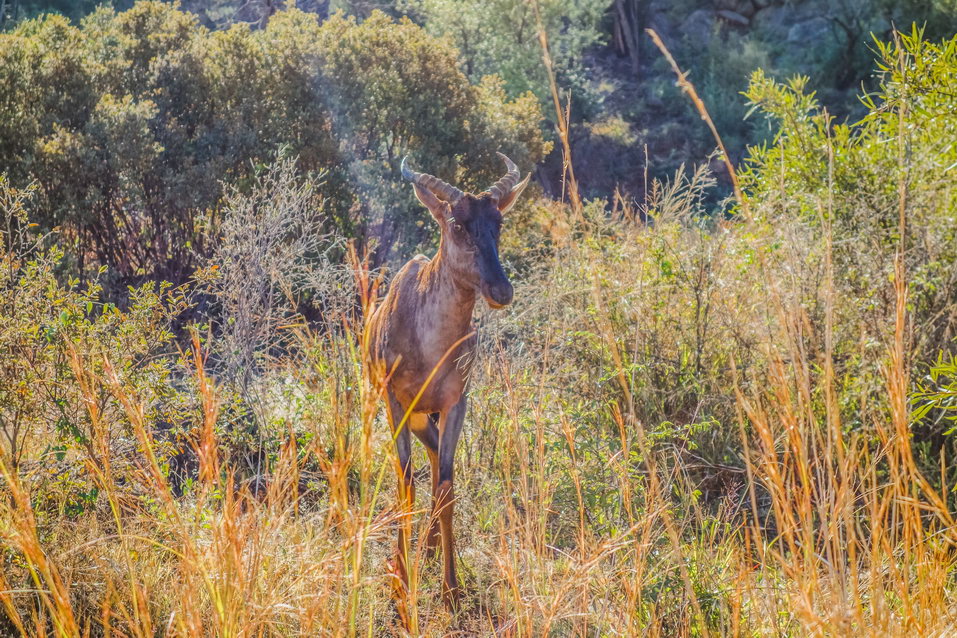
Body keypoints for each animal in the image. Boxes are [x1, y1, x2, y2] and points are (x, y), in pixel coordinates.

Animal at [366, 152, 532, 612]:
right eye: (457, 223)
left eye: (499, 222)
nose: (501, 290)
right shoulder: (396, 405)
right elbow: (405, 484)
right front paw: (399, 584)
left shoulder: (456, 404)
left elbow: (446, 485)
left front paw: (452, 590)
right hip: (415, 416)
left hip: (431, 417)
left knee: (436, 471)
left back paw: (428, 551)